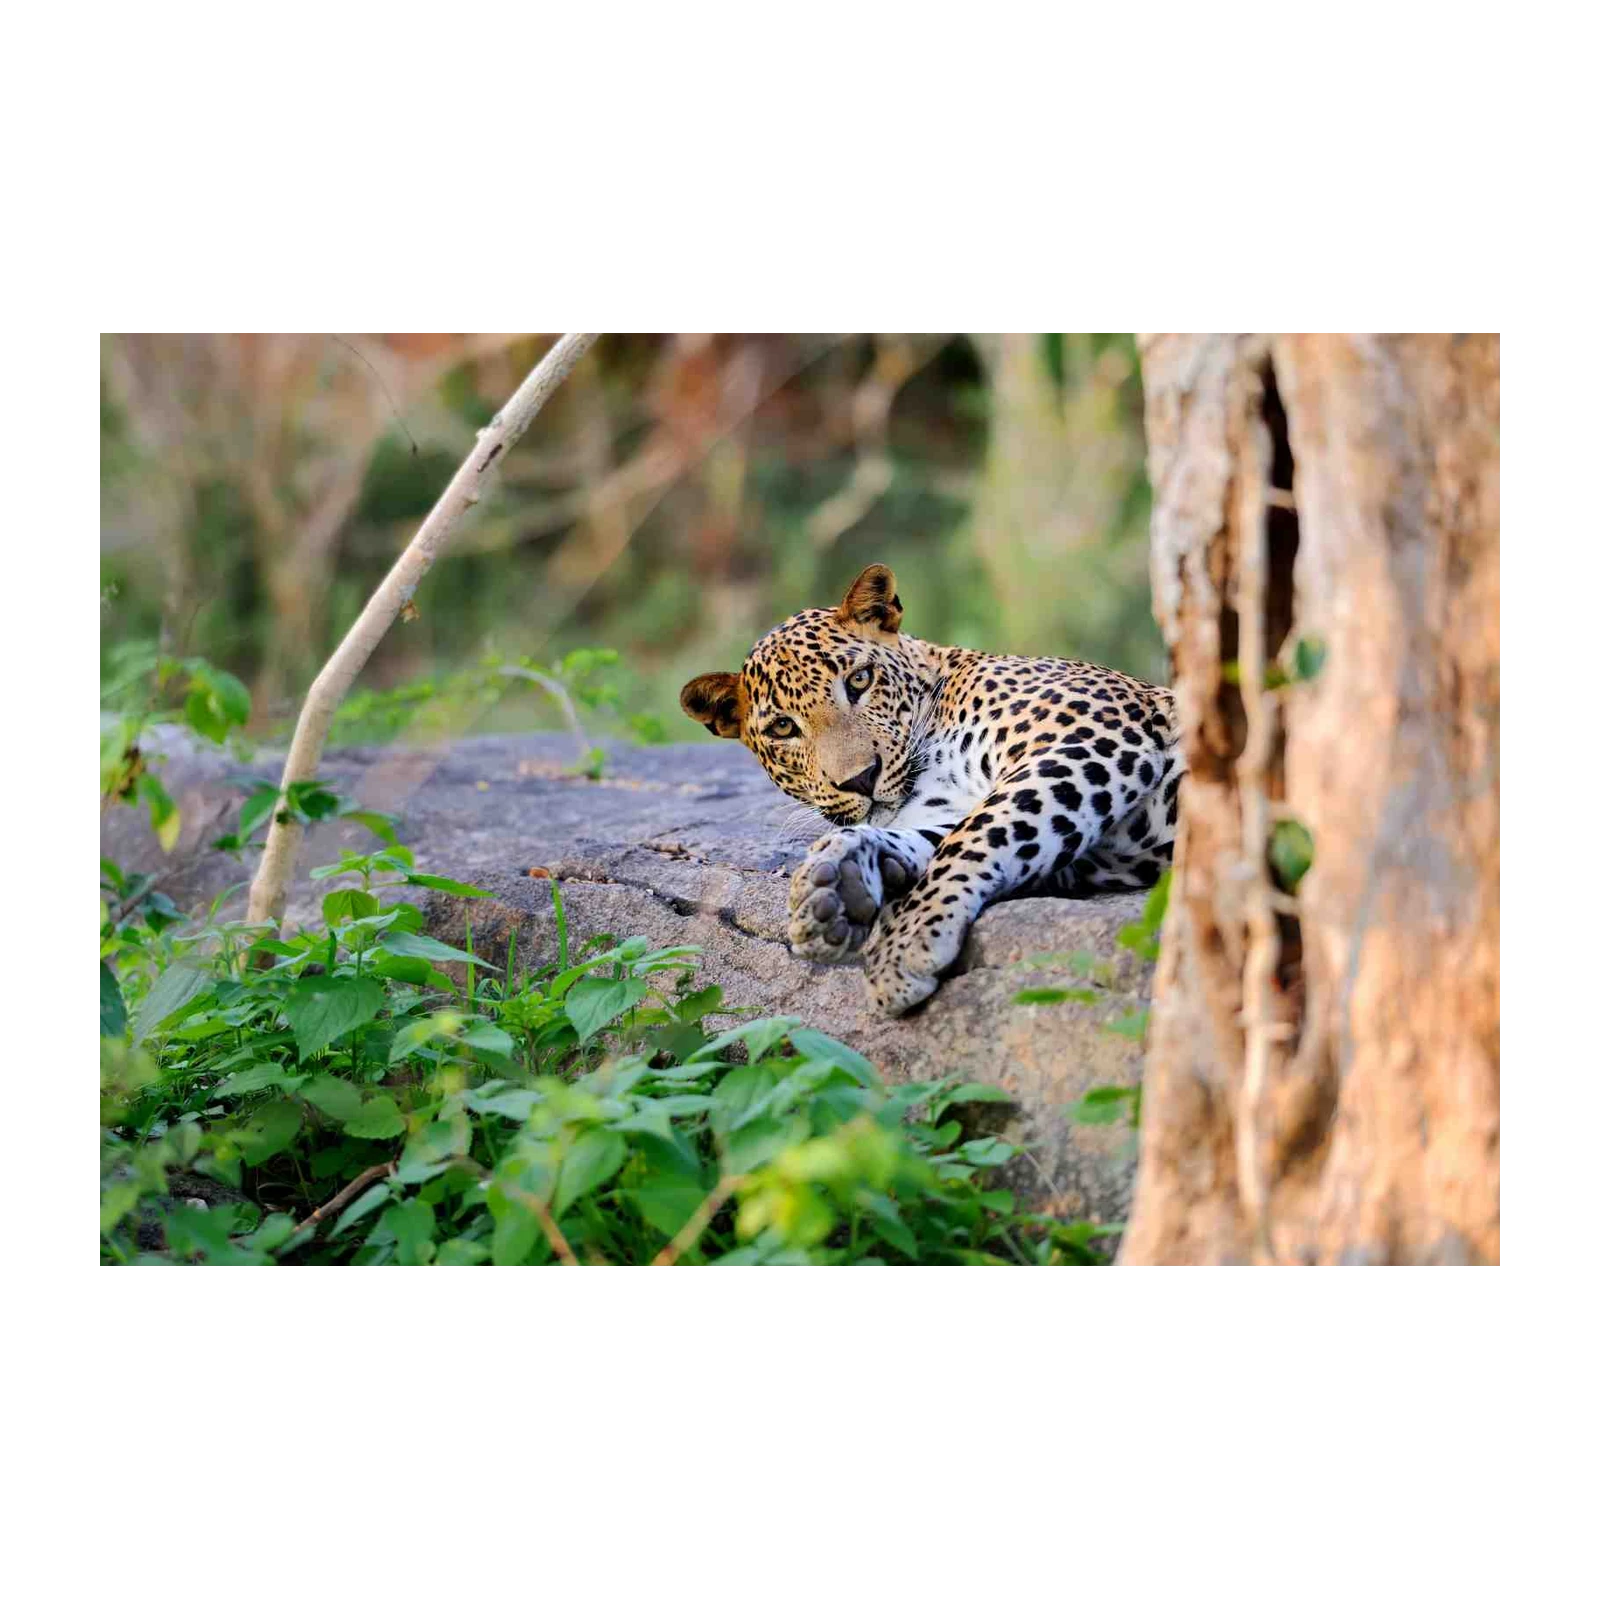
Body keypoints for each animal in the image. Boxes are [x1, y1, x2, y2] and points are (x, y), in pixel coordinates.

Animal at [680, 564, 1185, 1018]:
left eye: (860, 680)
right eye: (783, 728)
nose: (861, 778)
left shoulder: (1088, 737)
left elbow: (976, 834)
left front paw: (903, 945)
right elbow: (946, 835)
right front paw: (836, 881)